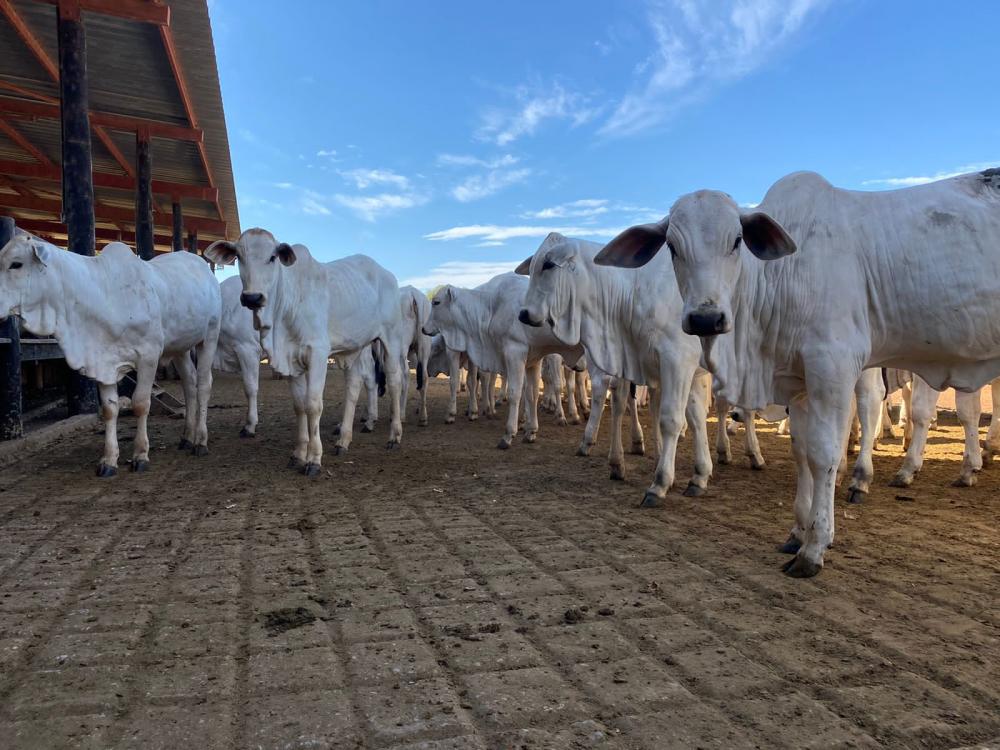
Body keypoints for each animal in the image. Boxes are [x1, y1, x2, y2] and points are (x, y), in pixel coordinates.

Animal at [0, 232, 221, 476]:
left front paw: (140, 454)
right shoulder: (103, 362)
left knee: (203, 384)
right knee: (189, 384)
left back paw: (200, 441)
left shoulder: (148, 356)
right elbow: (109, 409)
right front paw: (108, 459)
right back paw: (187, 438)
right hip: (180, 347)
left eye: (16, 264)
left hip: (210, 336)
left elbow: (140, 403)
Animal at [425, 272, 584, 449]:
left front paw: (508, 433)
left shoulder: (514, 352)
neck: (490, 307)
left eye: (436, 302)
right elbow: (531, 393)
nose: (424, 329)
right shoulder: (532, 359)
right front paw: (530, 430)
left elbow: (514, 392)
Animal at [594, 167, 1000, 577]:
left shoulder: (832, 366)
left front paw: (815, 547)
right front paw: (797, 533)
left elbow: (824, 454)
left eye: (737, 240)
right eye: (672, 247)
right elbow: (801, 452)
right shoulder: (799, 382)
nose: (705, 318)